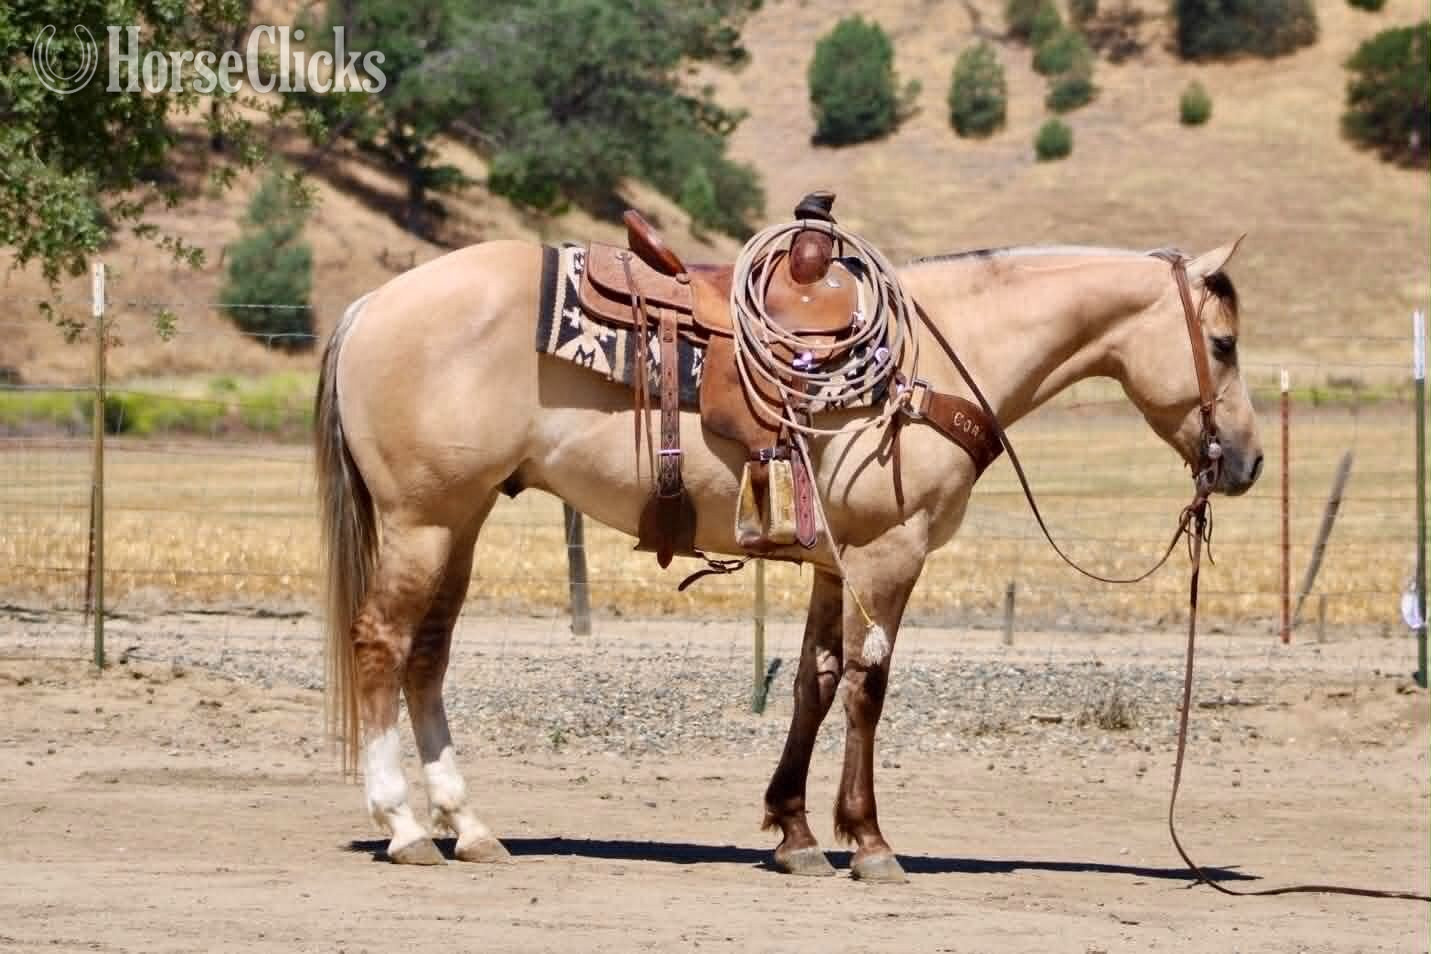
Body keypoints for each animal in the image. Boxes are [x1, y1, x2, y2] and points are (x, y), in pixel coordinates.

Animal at [314, 236, 1263, 881]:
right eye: (1222, 346)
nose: (1247, 462)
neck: (932, 361)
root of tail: (371, 306)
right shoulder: (888, 554)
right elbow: (867, 687)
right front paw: (869, 842)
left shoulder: (835, 565)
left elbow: (814, 679)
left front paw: (795, 834)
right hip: (422, 520)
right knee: (381, 644)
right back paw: (405, 828)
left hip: (461, 520)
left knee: (427, 656)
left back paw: (468, 827)